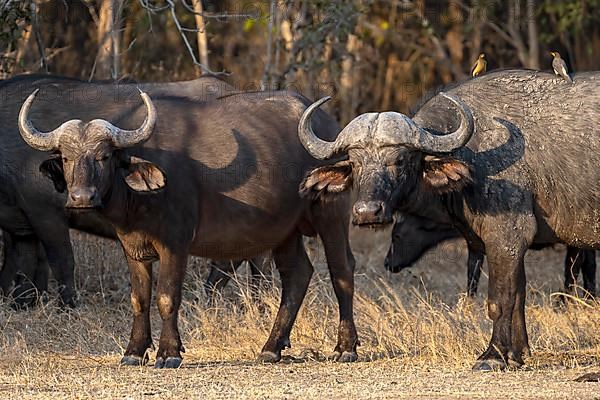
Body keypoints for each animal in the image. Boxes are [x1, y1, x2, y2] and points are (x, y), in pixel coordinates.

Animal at [17, 88, 356, 368]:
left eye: (103, 156)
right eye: (66, 157)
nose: (81, 198)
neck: (139, 200)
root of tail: (331, 129)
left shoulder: (175, 245)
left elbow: (167, 297)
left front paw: (168, 353)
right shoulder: (133, 248)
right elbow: (139, 299)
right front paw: (133, 352)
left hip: (331, 215)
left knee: (342, 272)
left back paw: (346, 348)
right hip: (285, 231)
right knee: (297, 274)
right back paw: (271, 347)